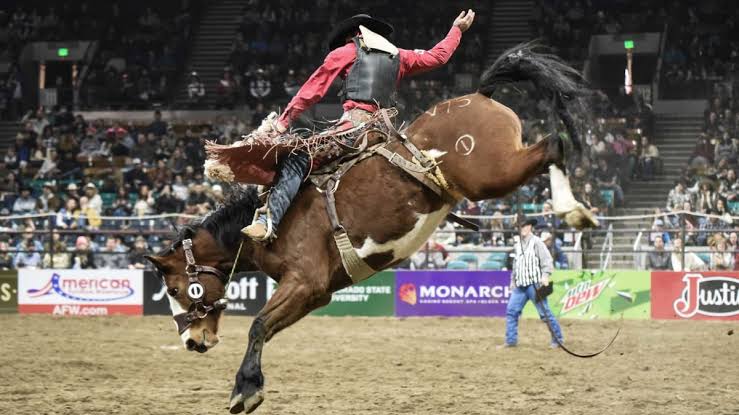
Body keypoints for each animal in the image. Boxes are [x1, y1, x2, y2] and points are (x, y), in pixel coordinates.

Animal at [146, 44, 600, 414]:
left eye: (175, 288)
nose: (193, 341)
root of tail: (481, 94)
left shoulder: (304, 282)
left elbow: (258, 325)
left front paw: (245, 390)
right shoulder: (318, 293)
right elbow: (267, 326)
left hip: (491, 174)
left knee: (554, 145)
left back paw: (574, 211)